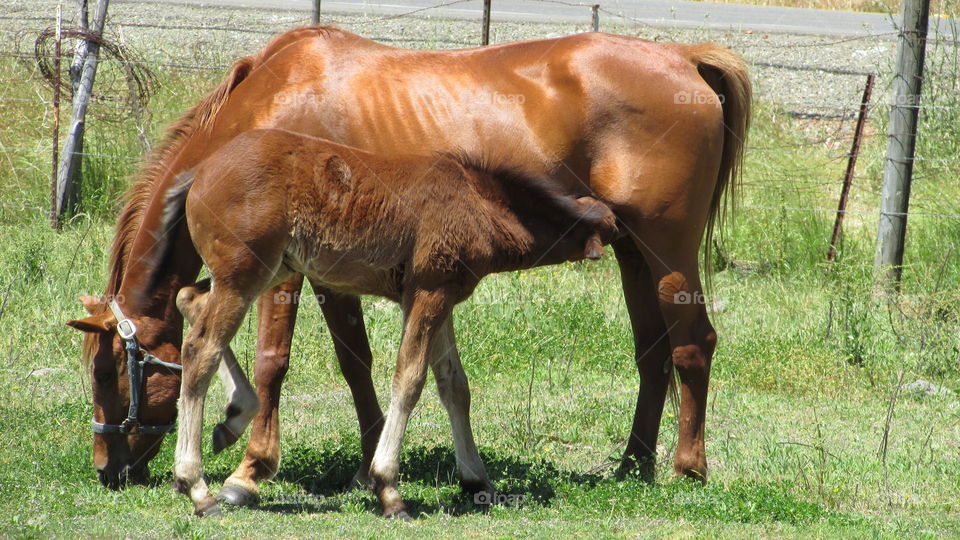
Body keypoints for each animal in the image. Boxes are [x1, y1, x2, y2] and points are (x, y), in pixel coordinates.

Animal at [66, 26, 750, 505]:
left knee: (693, 345)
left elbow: (273, 361)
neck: (268, 100)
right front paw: (369, 460)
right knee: (652, 353)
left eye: (109, 373)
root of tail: (686, 58)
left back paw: (688, 466)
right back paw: (634, 464)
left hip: (668, 251)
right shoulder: (336, 273)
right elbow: (357, 362)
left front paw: (252, 467)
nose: (106, 471)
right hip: (633, 253)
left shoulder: (287, 273)